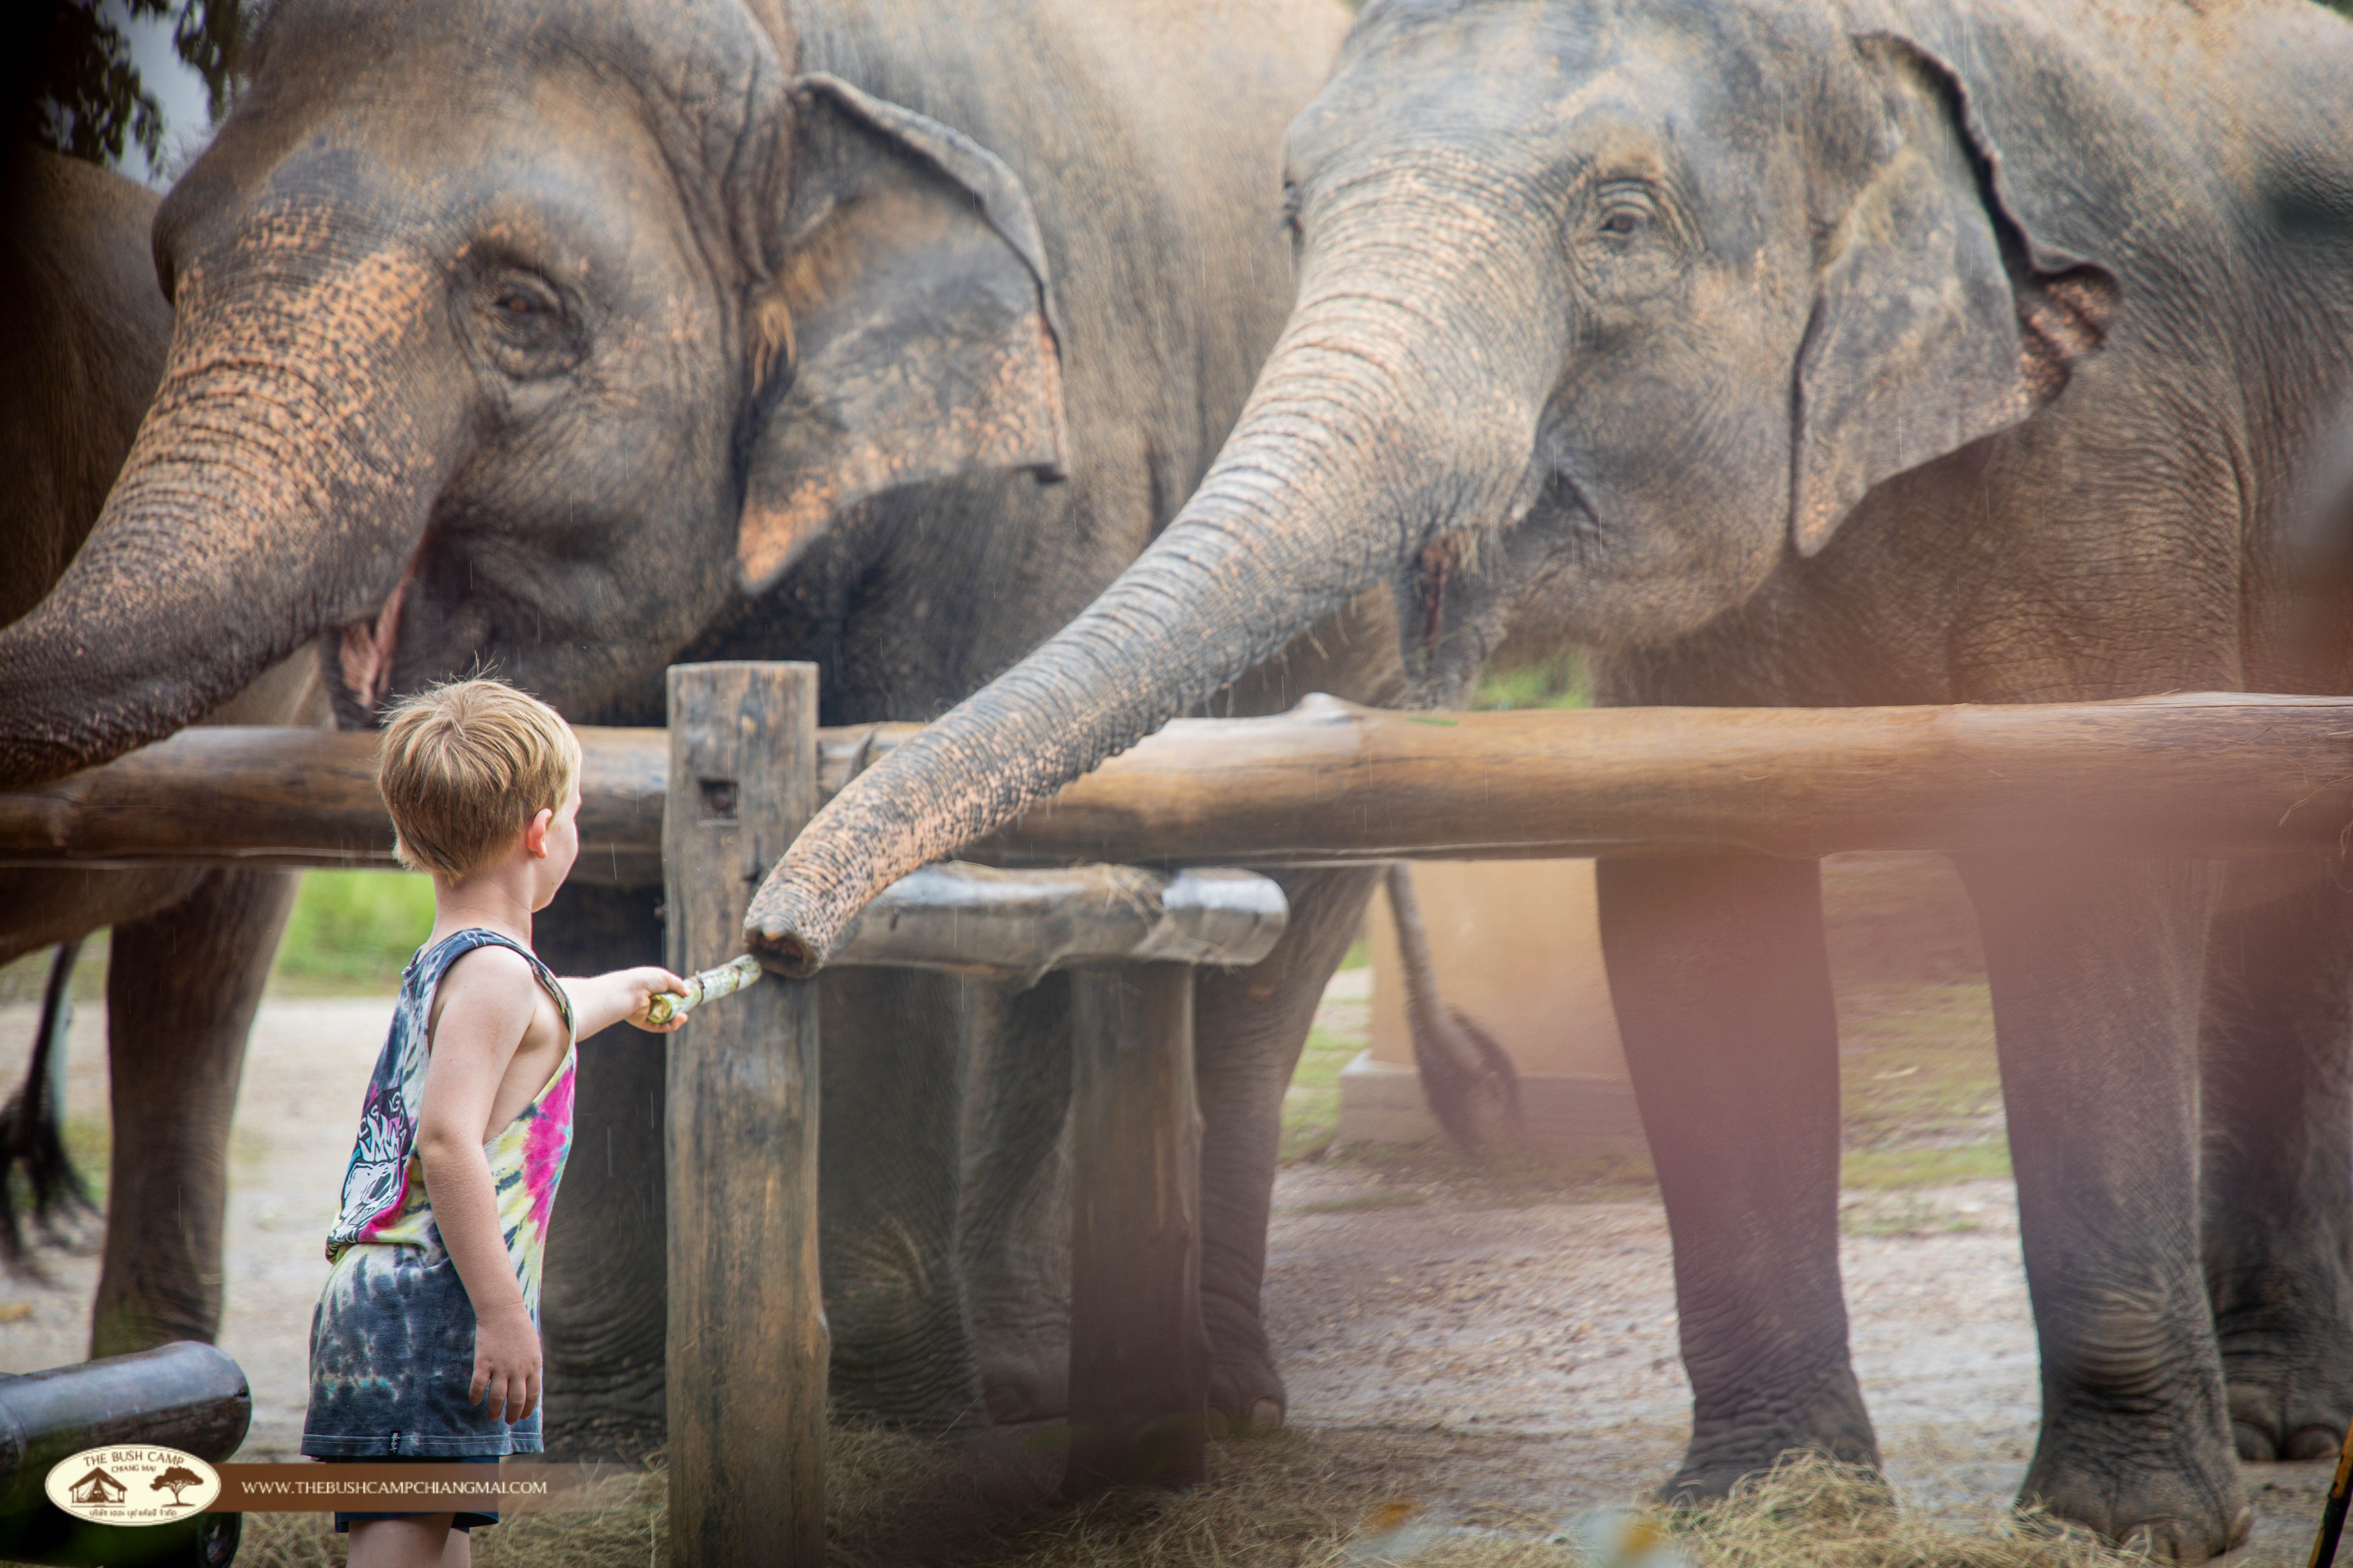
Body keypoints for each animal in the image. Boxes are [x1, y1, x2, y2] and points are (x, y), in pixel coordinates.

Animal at [746, 0, 2353, 1556]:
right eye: (1289, 209)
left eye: (1623, 223)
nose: (772, 939)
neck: (1868, 44)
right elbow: (1693, 904)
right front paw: (1759, 1499)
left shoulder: (2122, 449)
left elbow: (2094, 878)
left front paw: (2124, 1524)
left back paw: (2276, 1424)